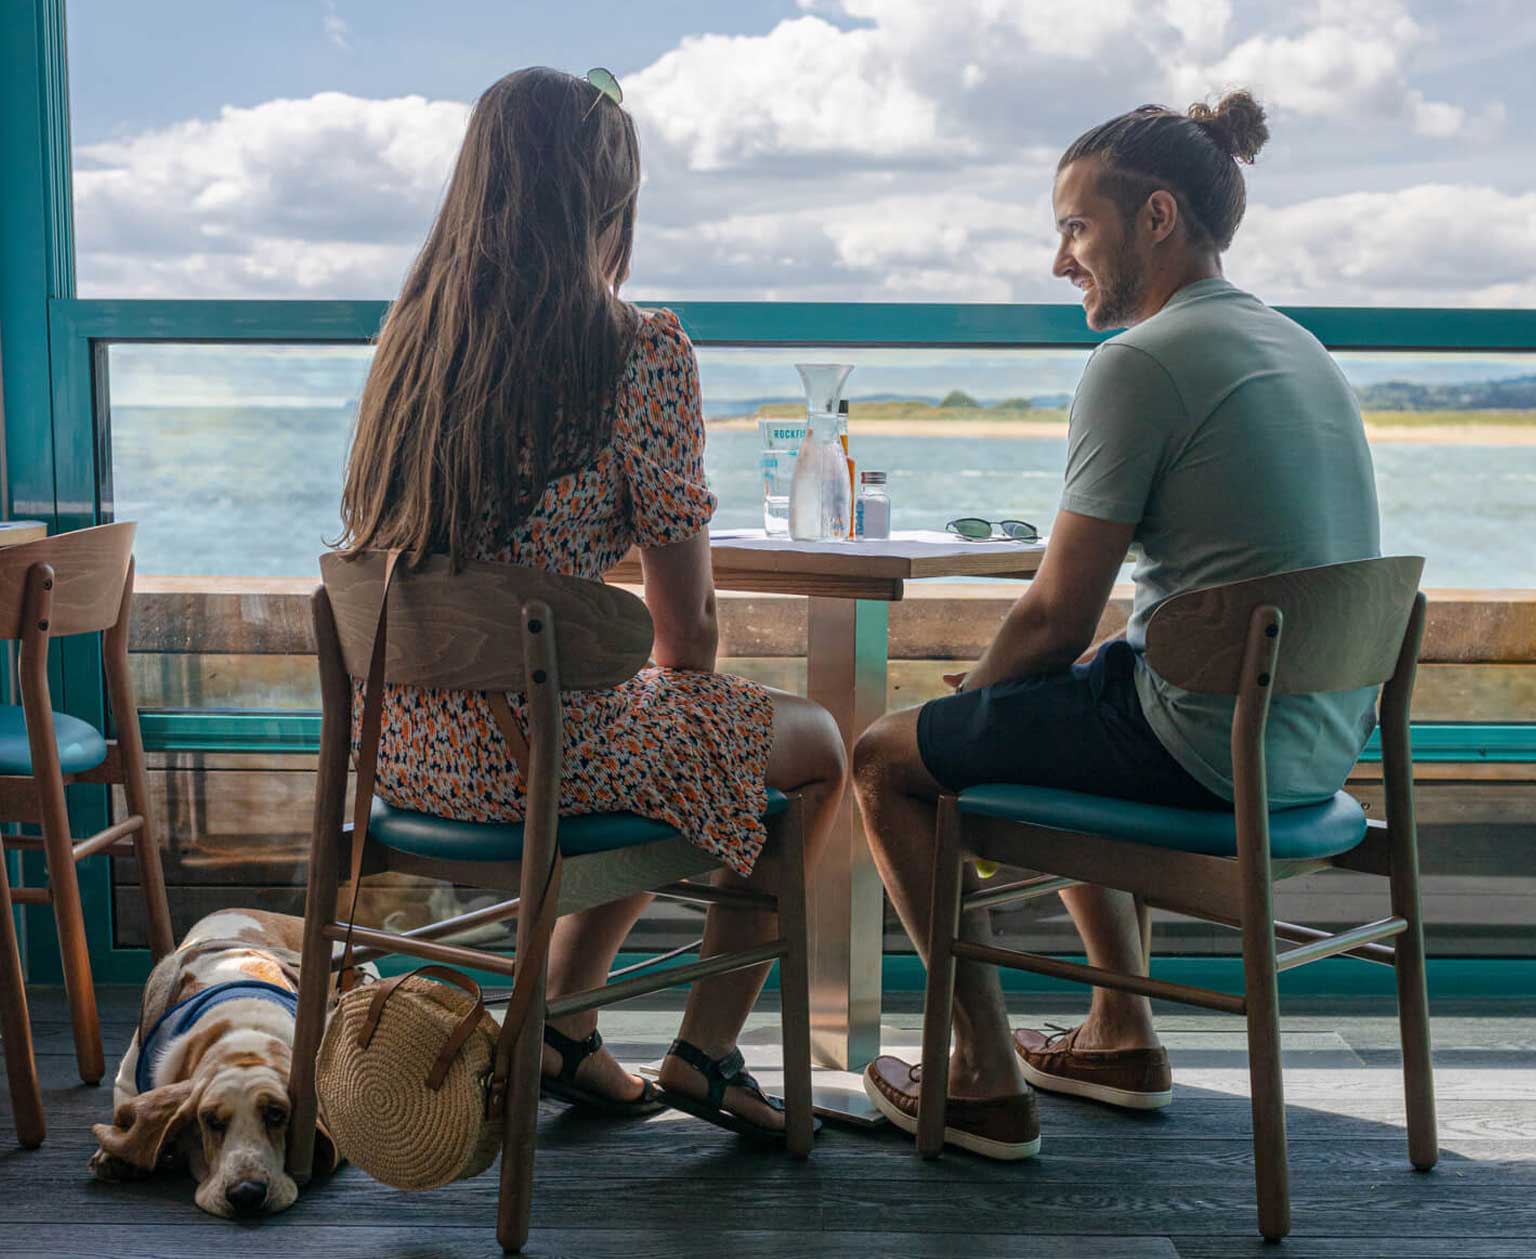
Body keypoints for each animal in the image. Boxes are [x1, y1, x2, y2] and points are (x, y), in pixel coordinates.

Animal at [88, 908, 350, 1216]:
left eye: (276, 1114)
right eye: (211, 1121)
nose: (247, 1193)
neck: (244, 1034)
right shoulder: (127, 1078)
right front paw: (112, 1155)